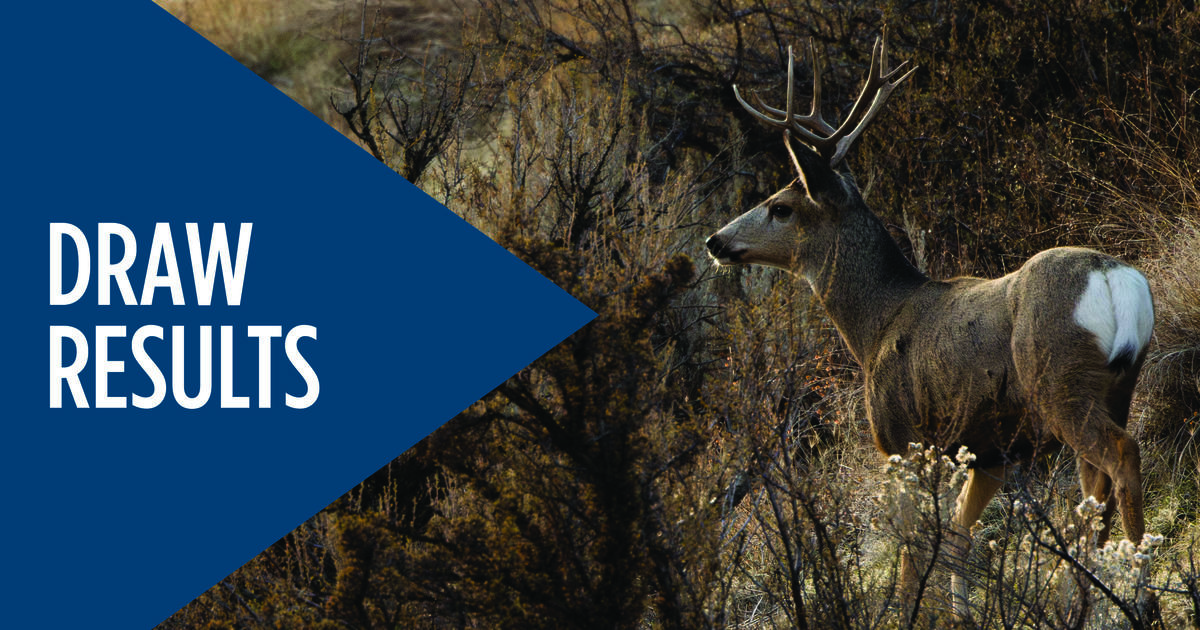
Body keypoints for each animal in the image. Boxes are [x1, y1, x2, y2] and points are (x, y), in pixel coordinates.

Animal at [706, 34, 1154, 618]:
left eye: (779, 206)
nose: (715, 240)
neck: (875, 322)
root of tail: (1113, 277)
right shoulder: (990, 450)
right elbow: (959, 536)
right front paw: (967, 613)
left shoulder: (903, 437)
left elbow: (912, 553)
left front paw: (911, 610)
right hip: (1119, 384)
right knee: (1092, 491)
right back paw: (1082, 595)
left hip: (1059, 381)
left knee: (1122, 455)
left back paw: (1139, 594)